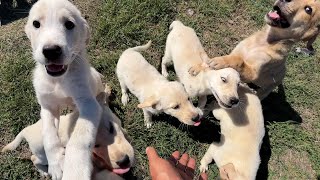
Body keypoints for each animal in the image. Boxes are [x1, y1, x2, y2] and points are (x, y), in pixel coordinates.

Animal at [24, 0, 104, 179]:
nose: (51, 51)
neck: (58, 80)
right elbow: (48, 135)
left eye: (69, 24)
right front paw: (55, 163)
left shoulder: (89, 104)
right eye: (36, 24)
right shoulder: (48, 107)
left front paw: (75, 170)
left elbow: (79, 138)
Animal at [189, 0, 320, 100]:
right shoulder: (235, 52)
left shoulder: (253, 72)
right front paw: (199, 67)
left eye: (308, 10)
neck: (262, 42)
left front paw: (219, 62)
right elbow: (224, 58)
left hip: (265, 90)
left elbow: (239, 61)